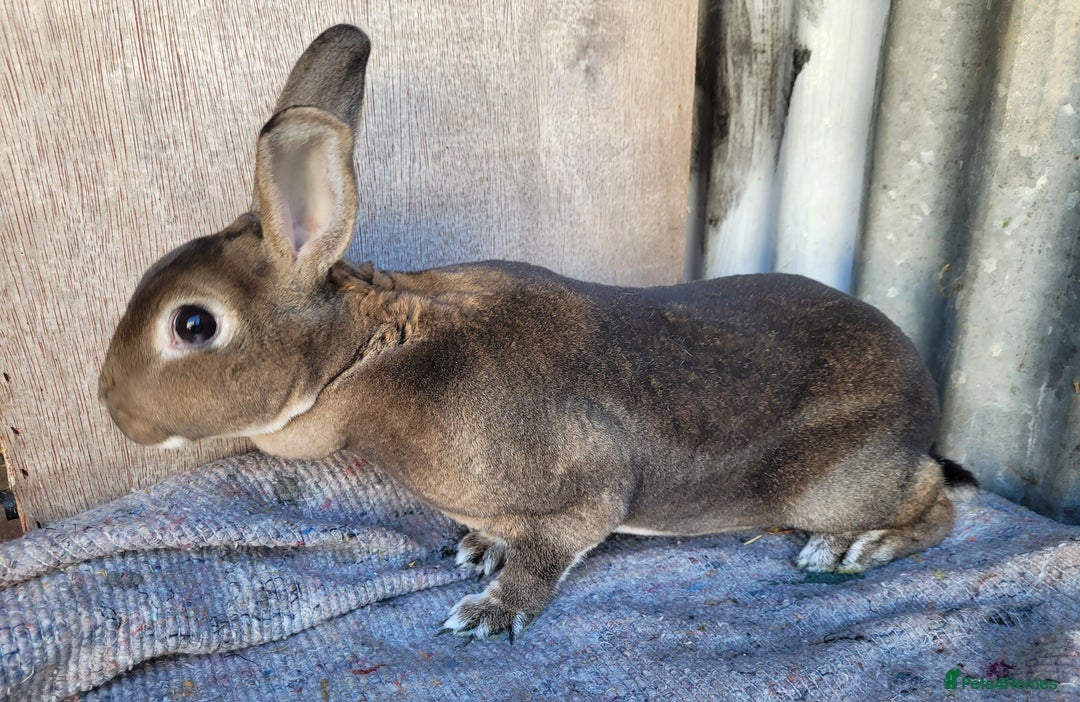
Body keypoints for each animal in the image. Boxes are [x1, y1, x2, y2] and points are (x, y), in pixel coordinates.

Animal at [98, 24, 977, 643]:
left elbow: (561, 544)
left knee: (938, 504)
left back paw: (852, 551)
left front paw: (490, 608)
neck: (371, 354)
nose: (112, 405)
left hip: (833, 484)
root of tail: (925, 393)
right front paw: (482, 547)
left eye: (194, 324)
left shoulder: (590, 484)